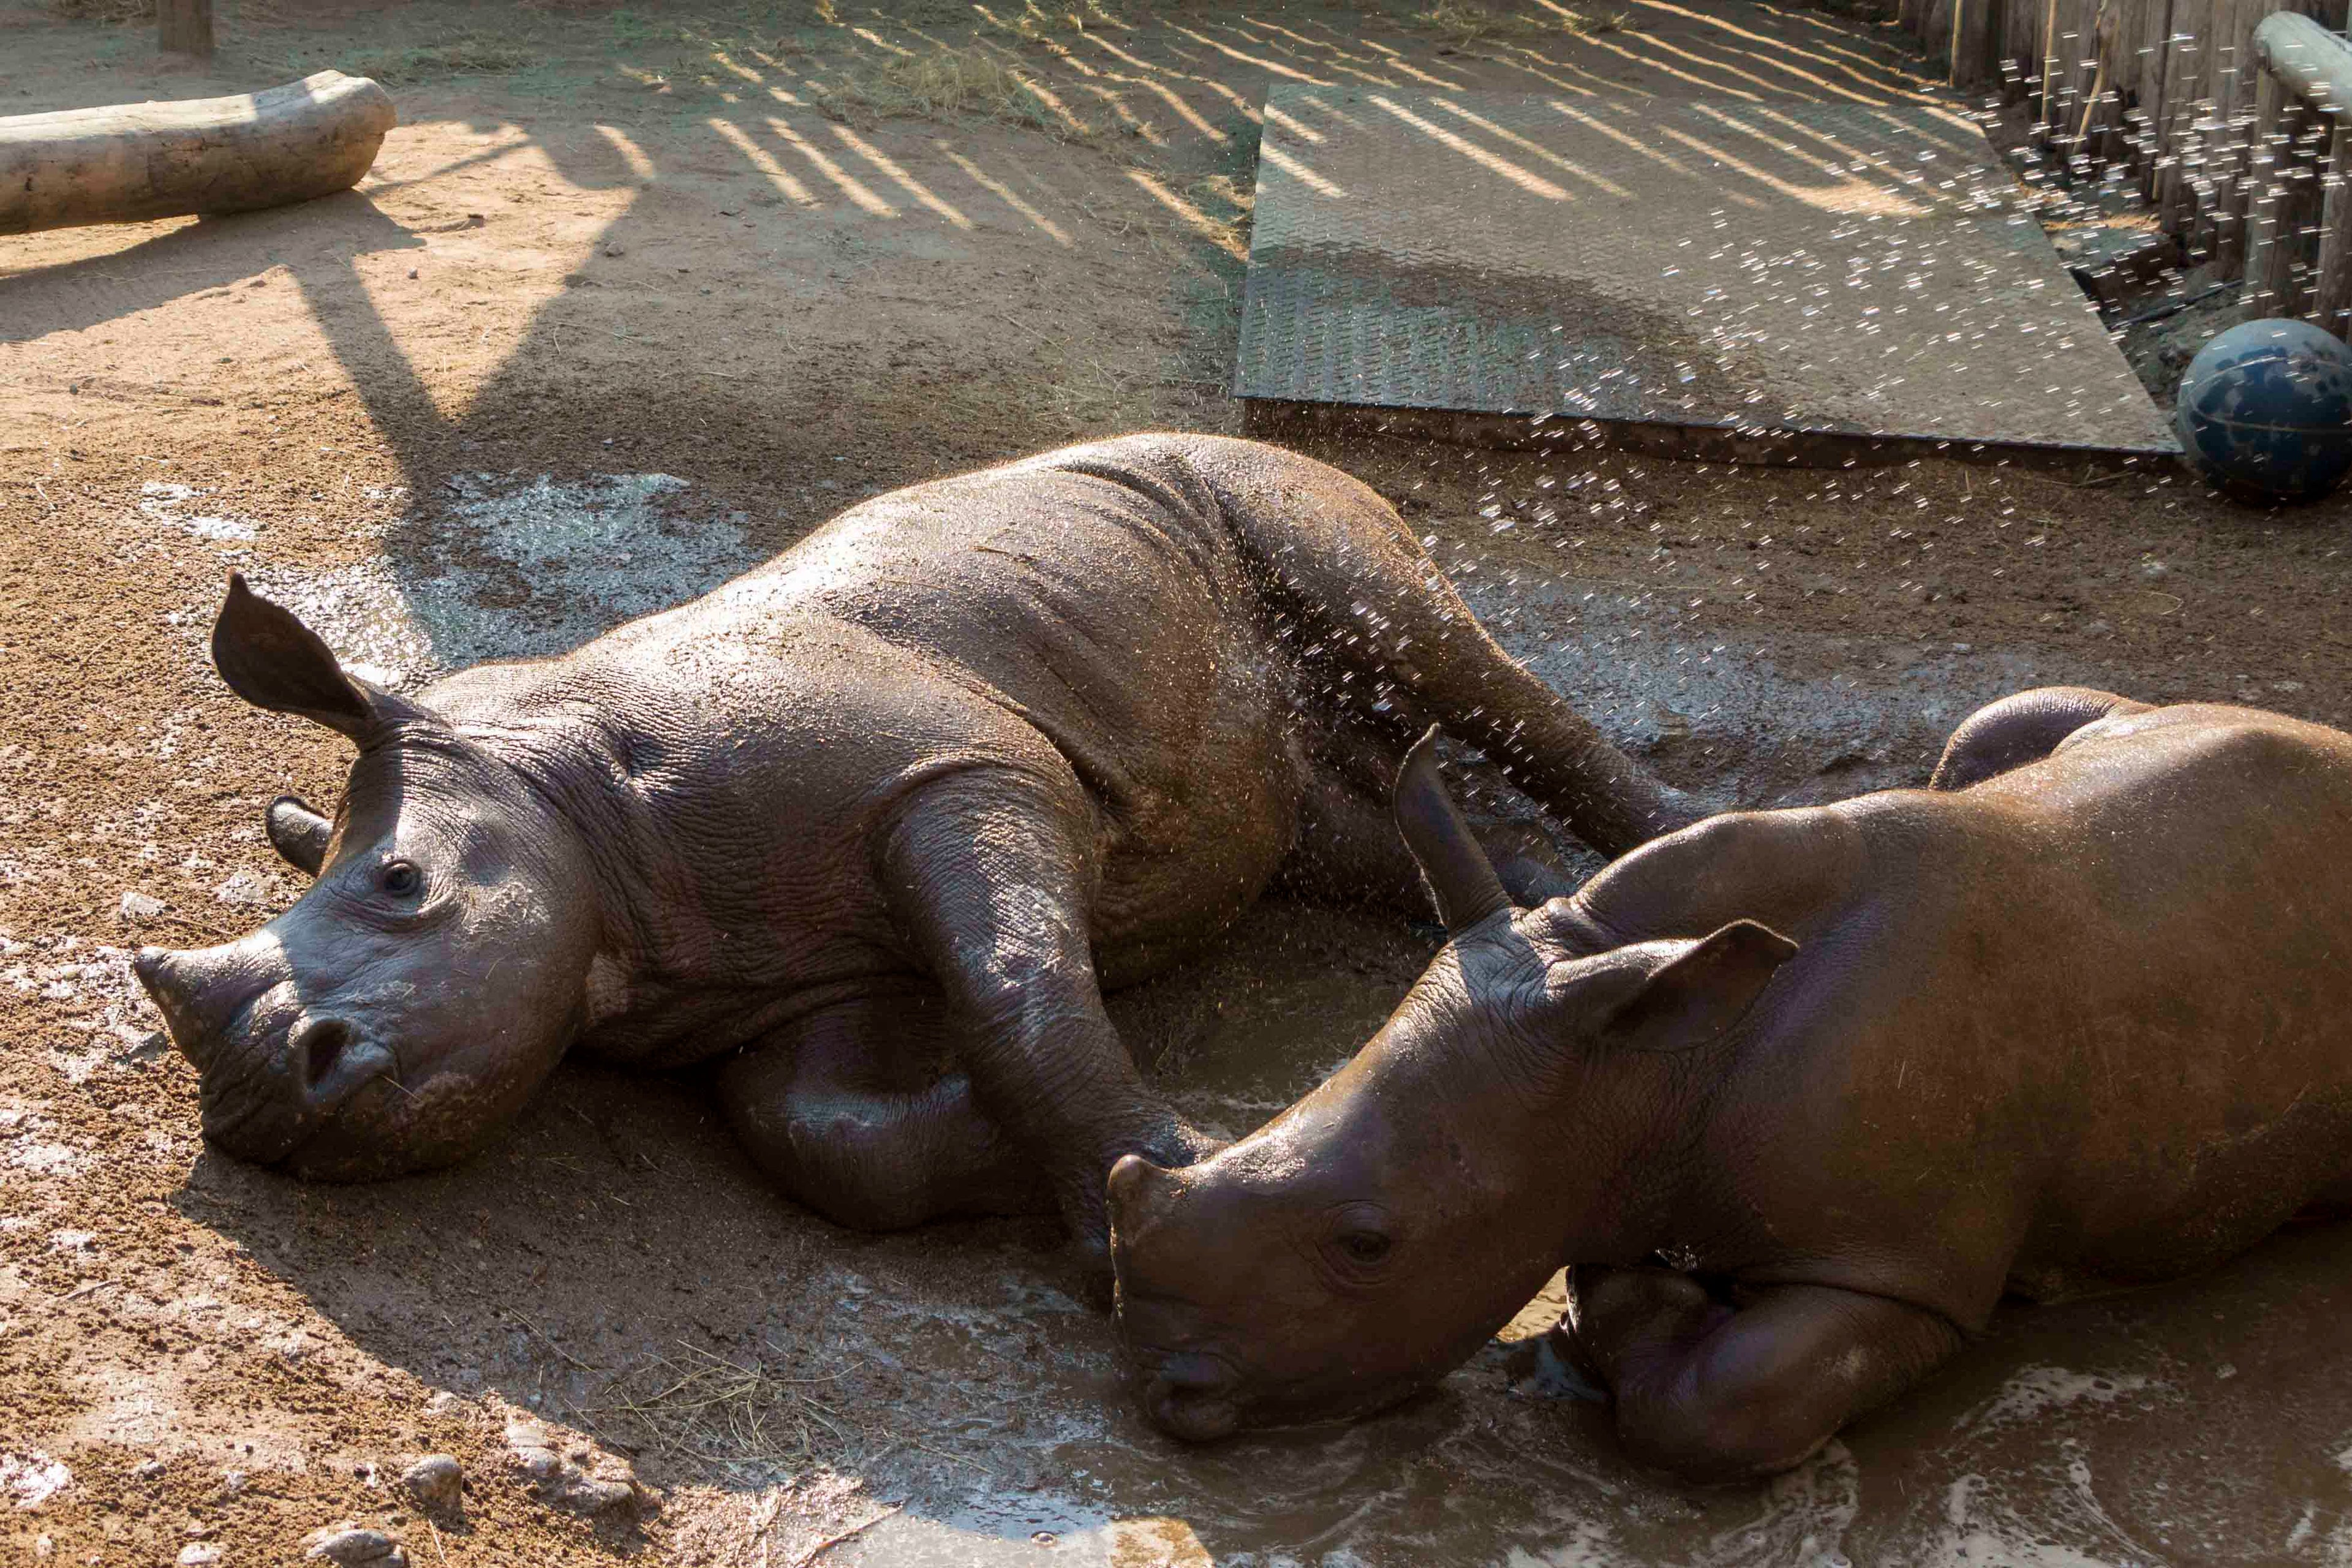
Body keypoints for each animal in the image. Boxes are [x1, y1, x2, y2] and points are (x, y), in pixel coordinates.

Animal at [133, 434, 1697, 1270]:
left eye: (403, 885)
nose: (265, 1100)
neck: (571, 796)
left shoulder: (961, 773)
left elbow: (1011, 986)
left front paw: (1158, 1202)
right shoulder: (789, 984)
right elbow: (835, 1139)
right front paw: (1088, 1155)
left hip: (1266, 482)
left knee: (1433, 640)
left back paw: (1676, 860)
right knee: (1328, 826)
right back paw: (1551, 910)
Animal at [1109, 687, 2352, 1477]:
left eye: (1368, 1245)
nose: (1163, 1390)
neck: (1647, 1066)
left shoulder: (1903, 1267)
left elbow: (1732, 1403)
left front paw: (1630, 1306)